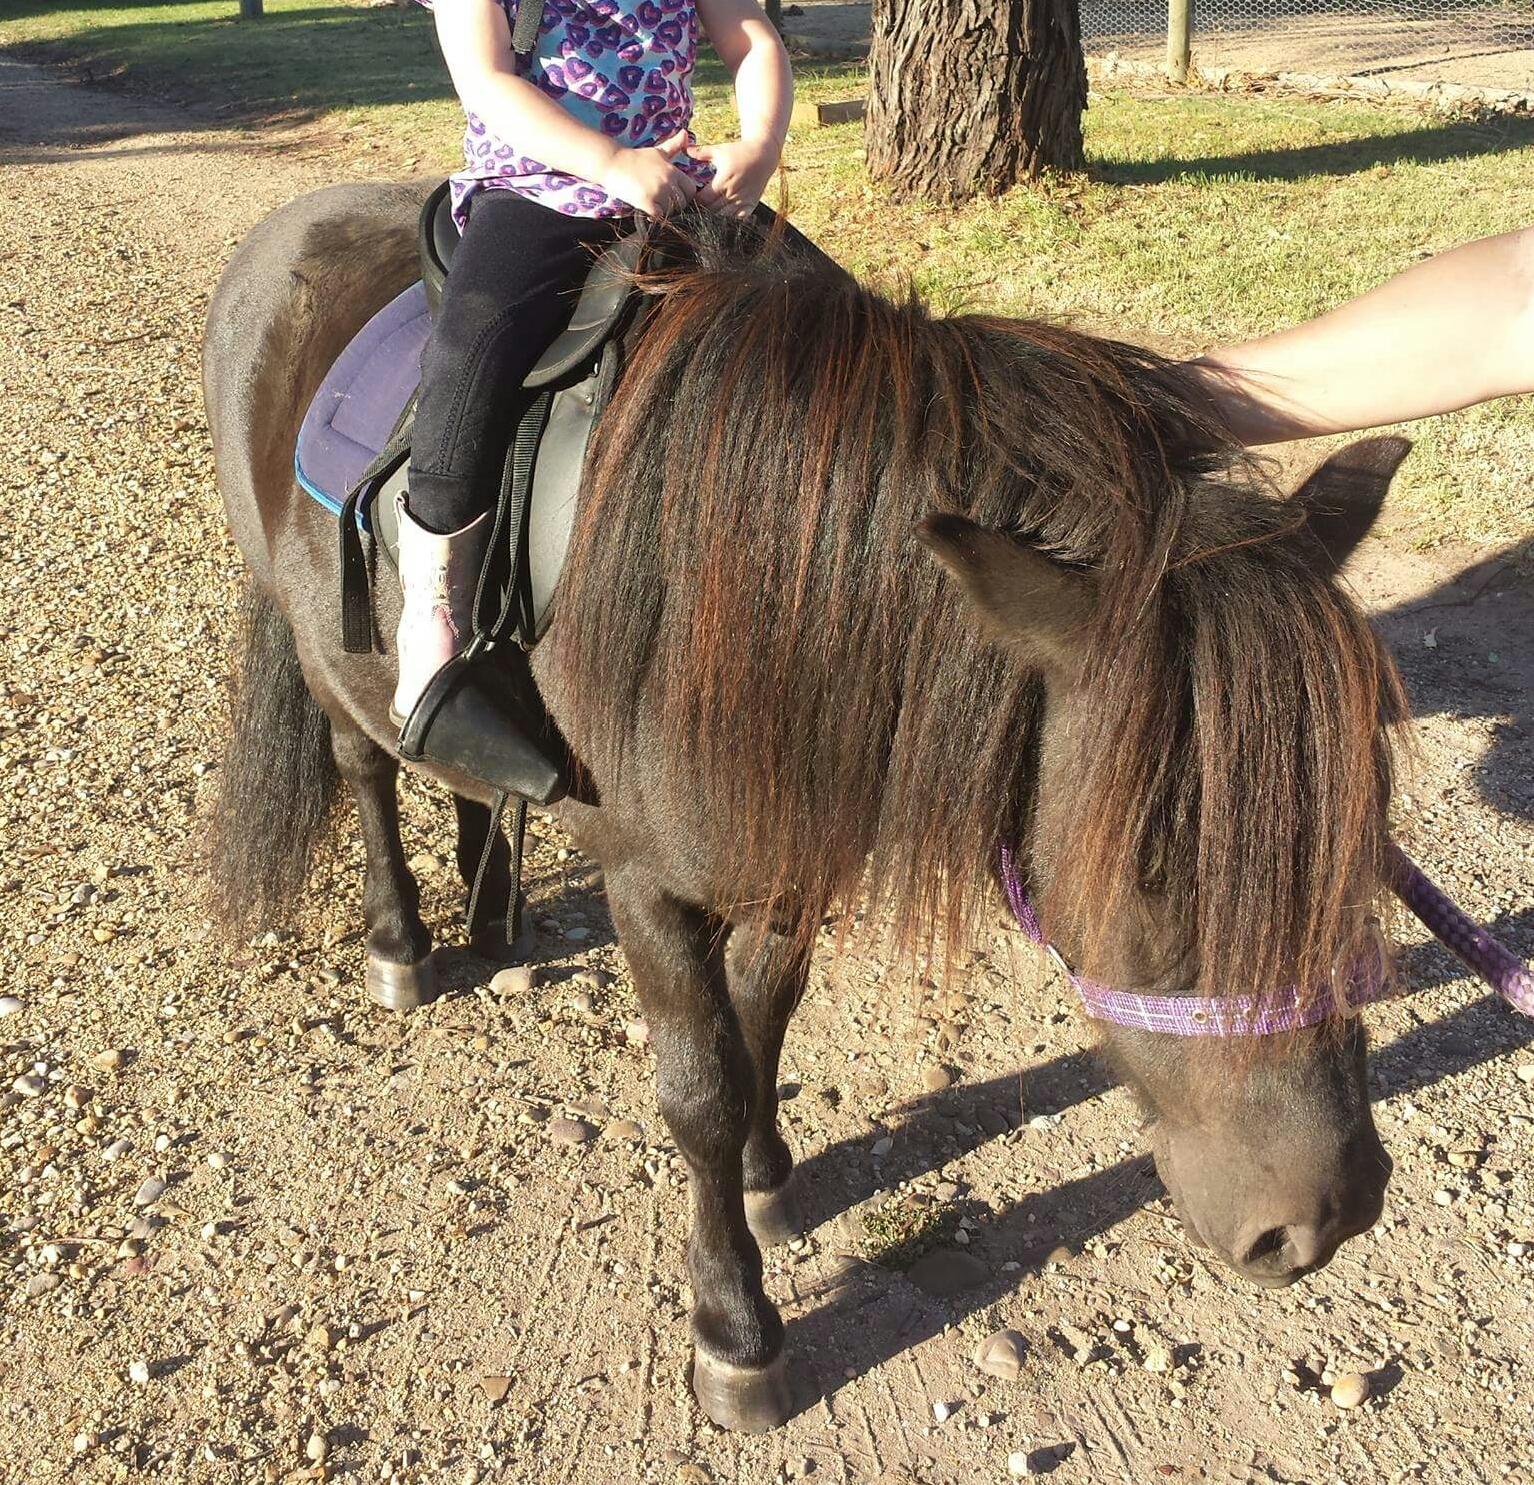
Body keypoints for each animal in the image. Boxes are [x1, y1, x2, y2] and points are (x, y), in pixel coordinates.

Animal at [203, 180, 1408, 1433]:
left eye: (1365, 822)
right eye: (1144, 863)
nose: (1322, 1217)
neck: (730, 579)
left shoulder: (790, 852)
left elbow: (761, 1016)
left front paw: (767, 1176)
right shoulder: (644, 881)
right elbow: (698, 1089)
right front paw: (734, 1326)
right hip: (318, 642)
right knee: (365, 764)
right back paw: (400, 940)